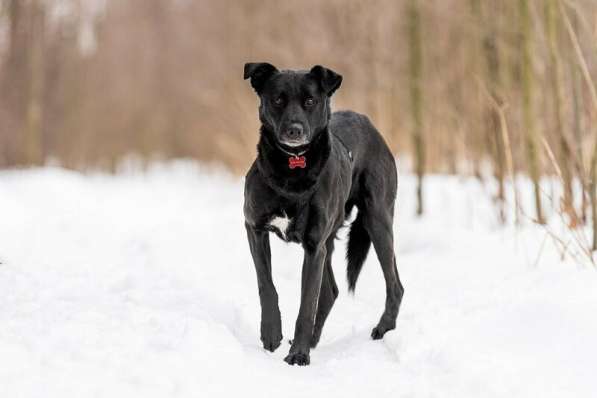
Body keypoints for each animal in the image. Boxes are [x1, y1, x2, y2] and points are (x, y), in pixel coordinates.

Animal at [243, 61, 406, 364]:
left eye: (310, 101)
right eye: (277, 100)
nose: (294, 131)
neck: (292, 171)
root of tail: (368, 123)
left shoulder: (313, 246)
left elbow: (306, 304)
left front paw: (298, 355)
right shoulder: (254, 228)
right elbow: (266, 285)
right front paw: (272, 334)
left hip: (377, 221)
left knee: (395, 285)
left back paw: (383, 328)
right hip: (332, 240)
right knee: (330, 291)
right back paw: (313, 340)